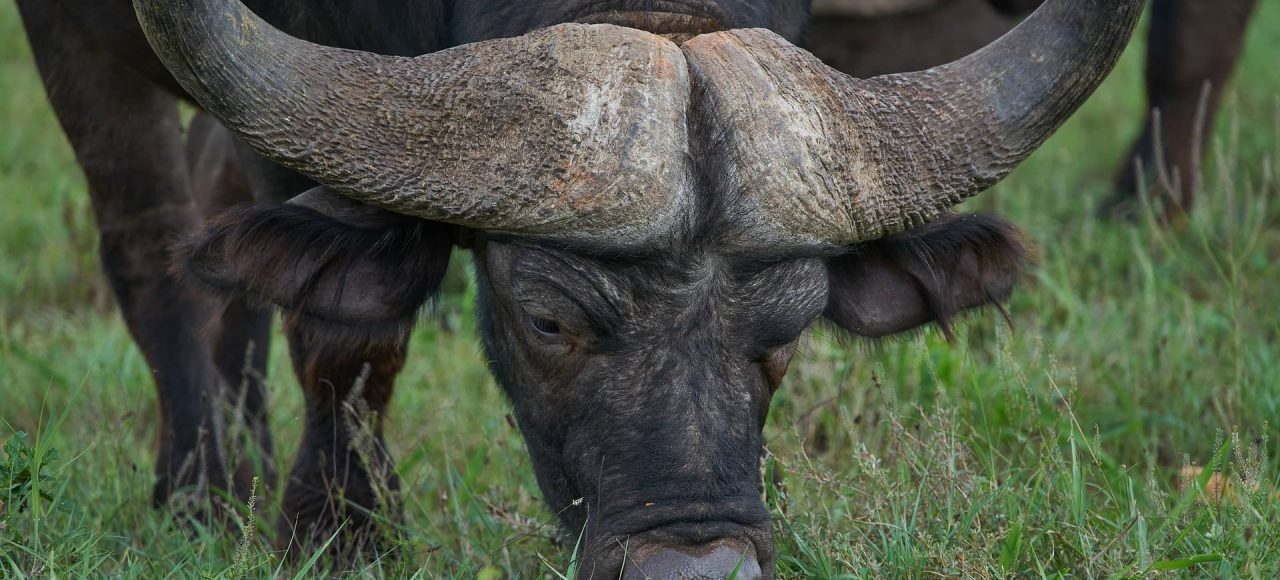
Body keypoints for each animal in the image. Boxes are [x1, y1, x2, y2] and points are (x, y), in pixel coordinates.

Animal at [16, 0, 1141, 576]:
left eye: (786, 332)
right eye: (547, 318)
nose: (692, 570)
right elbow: (349, 338)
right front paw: (339, 536)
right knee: (151, 242)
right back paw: (201, 490)